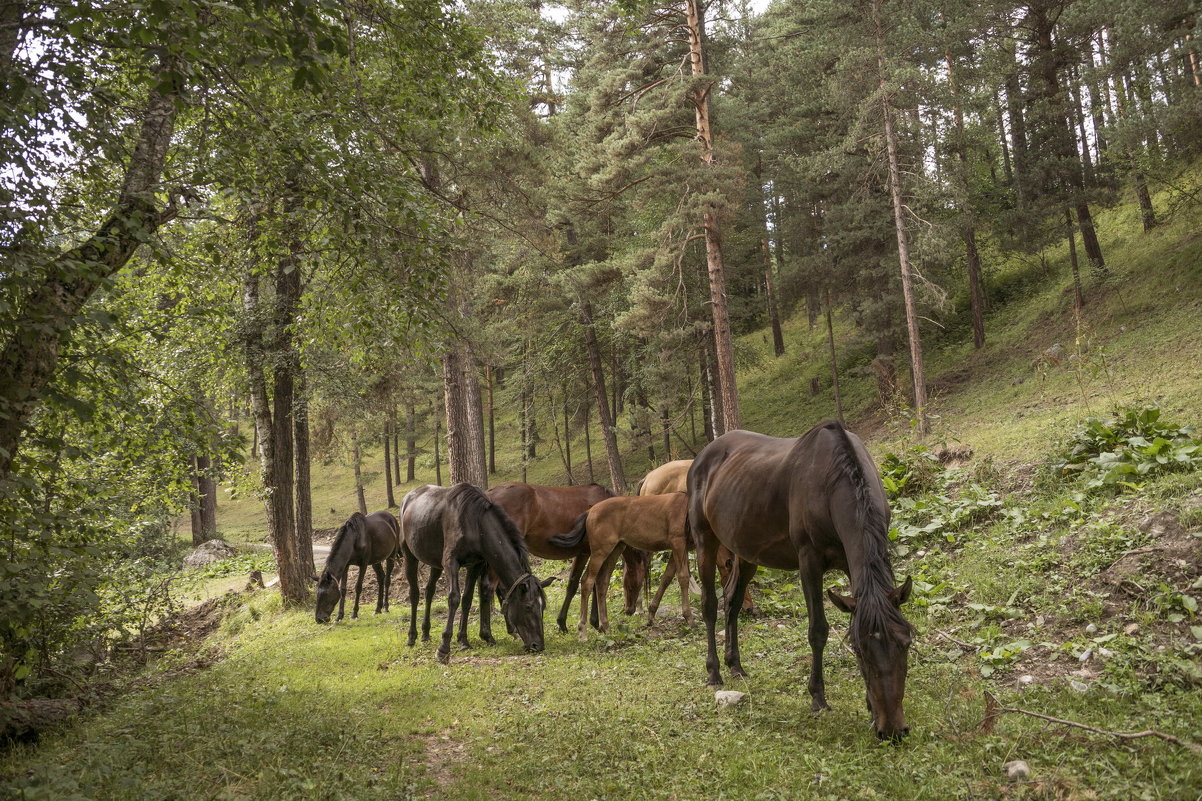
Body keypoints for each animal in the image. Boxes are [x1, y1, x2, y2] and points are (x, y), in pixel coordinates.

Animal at [401, 481, 555, 659]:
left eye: (542, 607)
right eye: (528, 607)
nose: (538, 645)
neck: (475, 522)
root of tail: (409, 496)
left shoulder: (475, 565)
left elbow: (467, 599)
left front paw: (463, 640)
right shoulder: (451, 562)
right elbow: (454, 598)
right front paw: (444, 647)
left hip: (435, 563)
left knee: (429, 591)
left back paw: (425, 633)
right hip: (410, 556)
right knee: (414, 593)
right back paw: (412, 637)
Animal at [483, 481, 649, 630]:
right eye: (637, 583)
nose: (630, 610)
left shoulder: (582, 553)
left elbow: (573, 585)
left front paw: (562, 622)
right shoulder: (590, 553)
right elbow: (592, 584)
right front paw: (594, 622)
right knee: (495, 587)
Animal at [550, 490, 692, 635]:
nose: (629, 611)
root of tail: (590, 511)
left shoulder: (680, 549)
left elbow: (667, 577)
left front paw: (652, 615)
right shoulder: (678, 543)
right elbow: (683, 577)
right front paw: (689, 618)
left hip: (615, 549)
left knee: (602, 582)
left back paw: (605, 626)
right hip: (600, 552)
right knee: (587, 581)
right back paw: (583, 630)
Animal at [692, 420, 913, 740]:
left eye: (906, 643)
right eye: (859, 651)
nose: (893, 730)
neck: (833, 481)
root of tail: (702, 457)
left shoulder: (852, 565)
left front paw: (871, 709)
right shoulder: (809, 561)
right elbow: (818, 630)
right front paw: (818, 698)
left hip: (746, 552)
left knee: (731, 601)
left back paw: (736, 666)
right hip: (704, 541)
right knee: (709, 605)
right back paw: (714, 671)